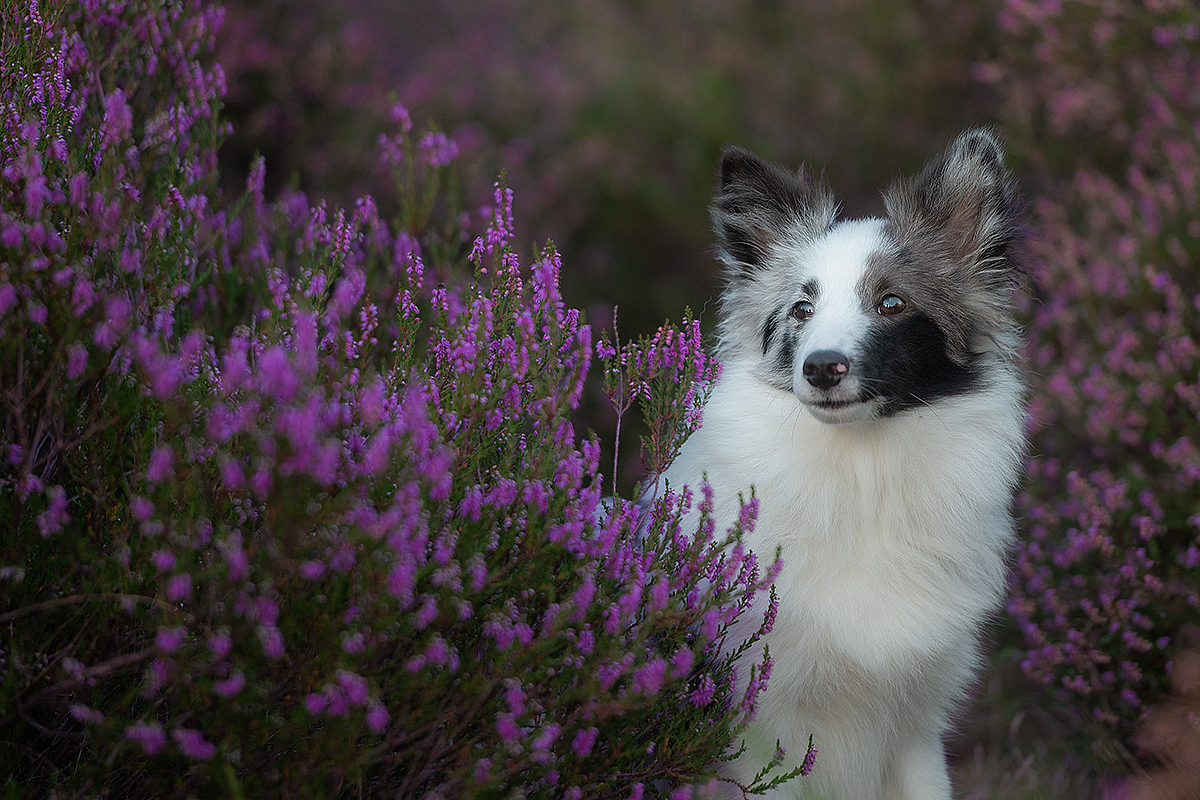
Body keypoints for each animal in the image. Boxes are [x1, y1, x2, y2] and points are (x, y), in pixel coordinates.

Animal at [662, 131, 1027, 800]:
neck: (862, 474)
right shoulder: (761, 734)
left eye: (891, 302)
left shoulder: (914, 731)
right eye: (801, 310)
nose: (821, 368)